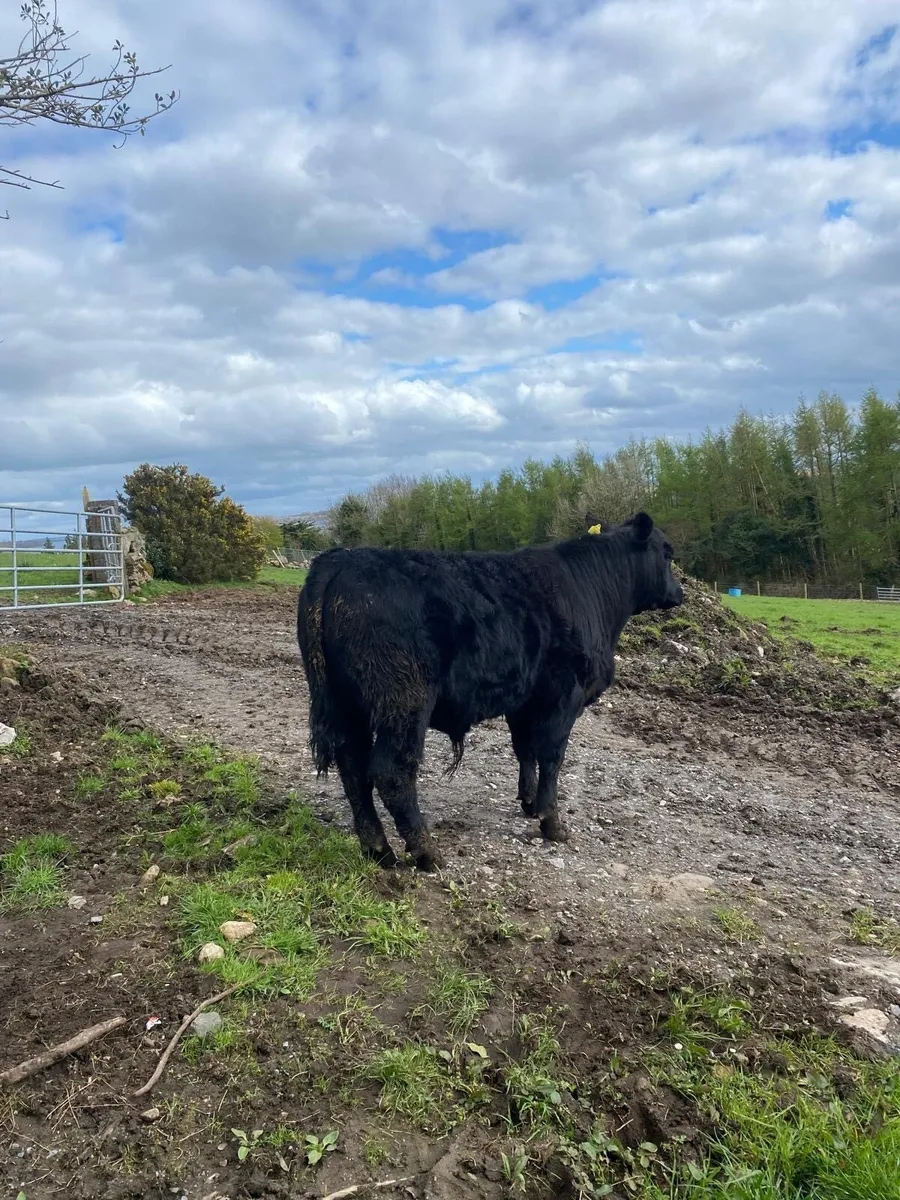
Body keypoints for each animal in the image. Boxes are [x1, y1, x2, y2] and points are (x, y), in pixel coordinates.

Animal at [296, 512, 683, 871]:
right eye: (667, 552)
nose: (679, 593)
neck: (592, 591)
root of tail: (341, 559)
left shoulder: (525, 701)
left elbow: (525, 750)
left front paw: (528, 803)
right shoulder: (563, 698)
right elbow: (552, 756)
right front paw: (552, 822)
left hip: (346, 706)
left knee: (353, 768)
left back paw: (378, 849)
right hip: (404, 703)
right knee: (391, 772)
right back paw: (426, 852)